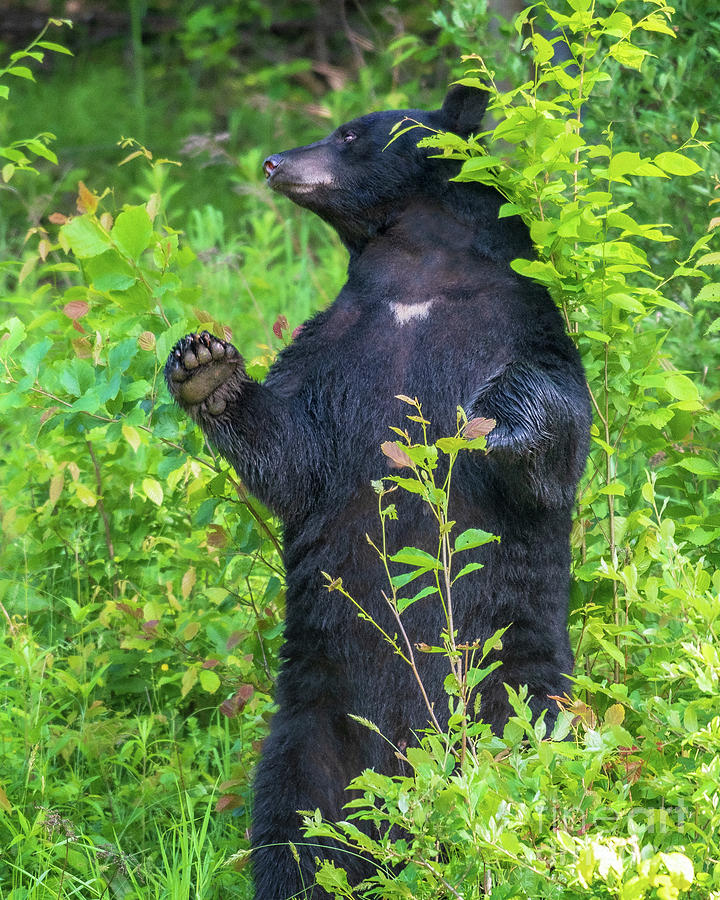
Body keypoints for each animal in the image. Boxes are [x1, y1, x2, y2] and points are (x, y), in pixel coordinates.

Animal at [167, 86, 592, 900]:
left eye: (349, 134)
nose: (276, 160)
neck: (415, 277)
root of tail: (403, 776)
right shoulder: (333, 349)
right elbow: (293, 451)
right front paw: (206, 366)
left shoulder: (523, 320)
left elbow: (557, 425)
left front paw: (505, 419)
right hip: (311, 723)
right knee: (295, 824)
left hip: (513, 696)